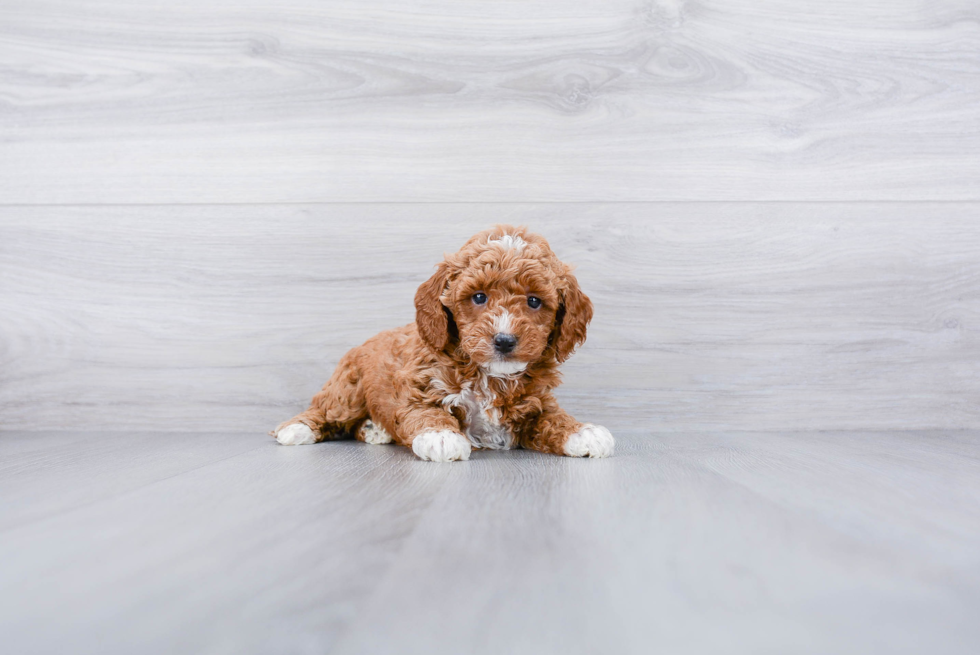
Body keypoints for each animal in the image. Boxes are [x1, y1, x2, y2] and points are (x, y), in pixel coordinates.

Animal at [272, 226, 616, 462]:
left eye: (534, 301)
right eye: (479, 297)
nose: (504, 340)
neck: (491, 376)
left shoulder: (536, 404)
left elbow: (553, 418)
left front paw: (583, 431)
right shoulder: (419, 390)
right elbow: (428, 413)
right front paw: (440, 436)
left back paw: (374, 430)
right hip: (348, 390)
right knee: (324, 410)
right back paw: (297, 429)